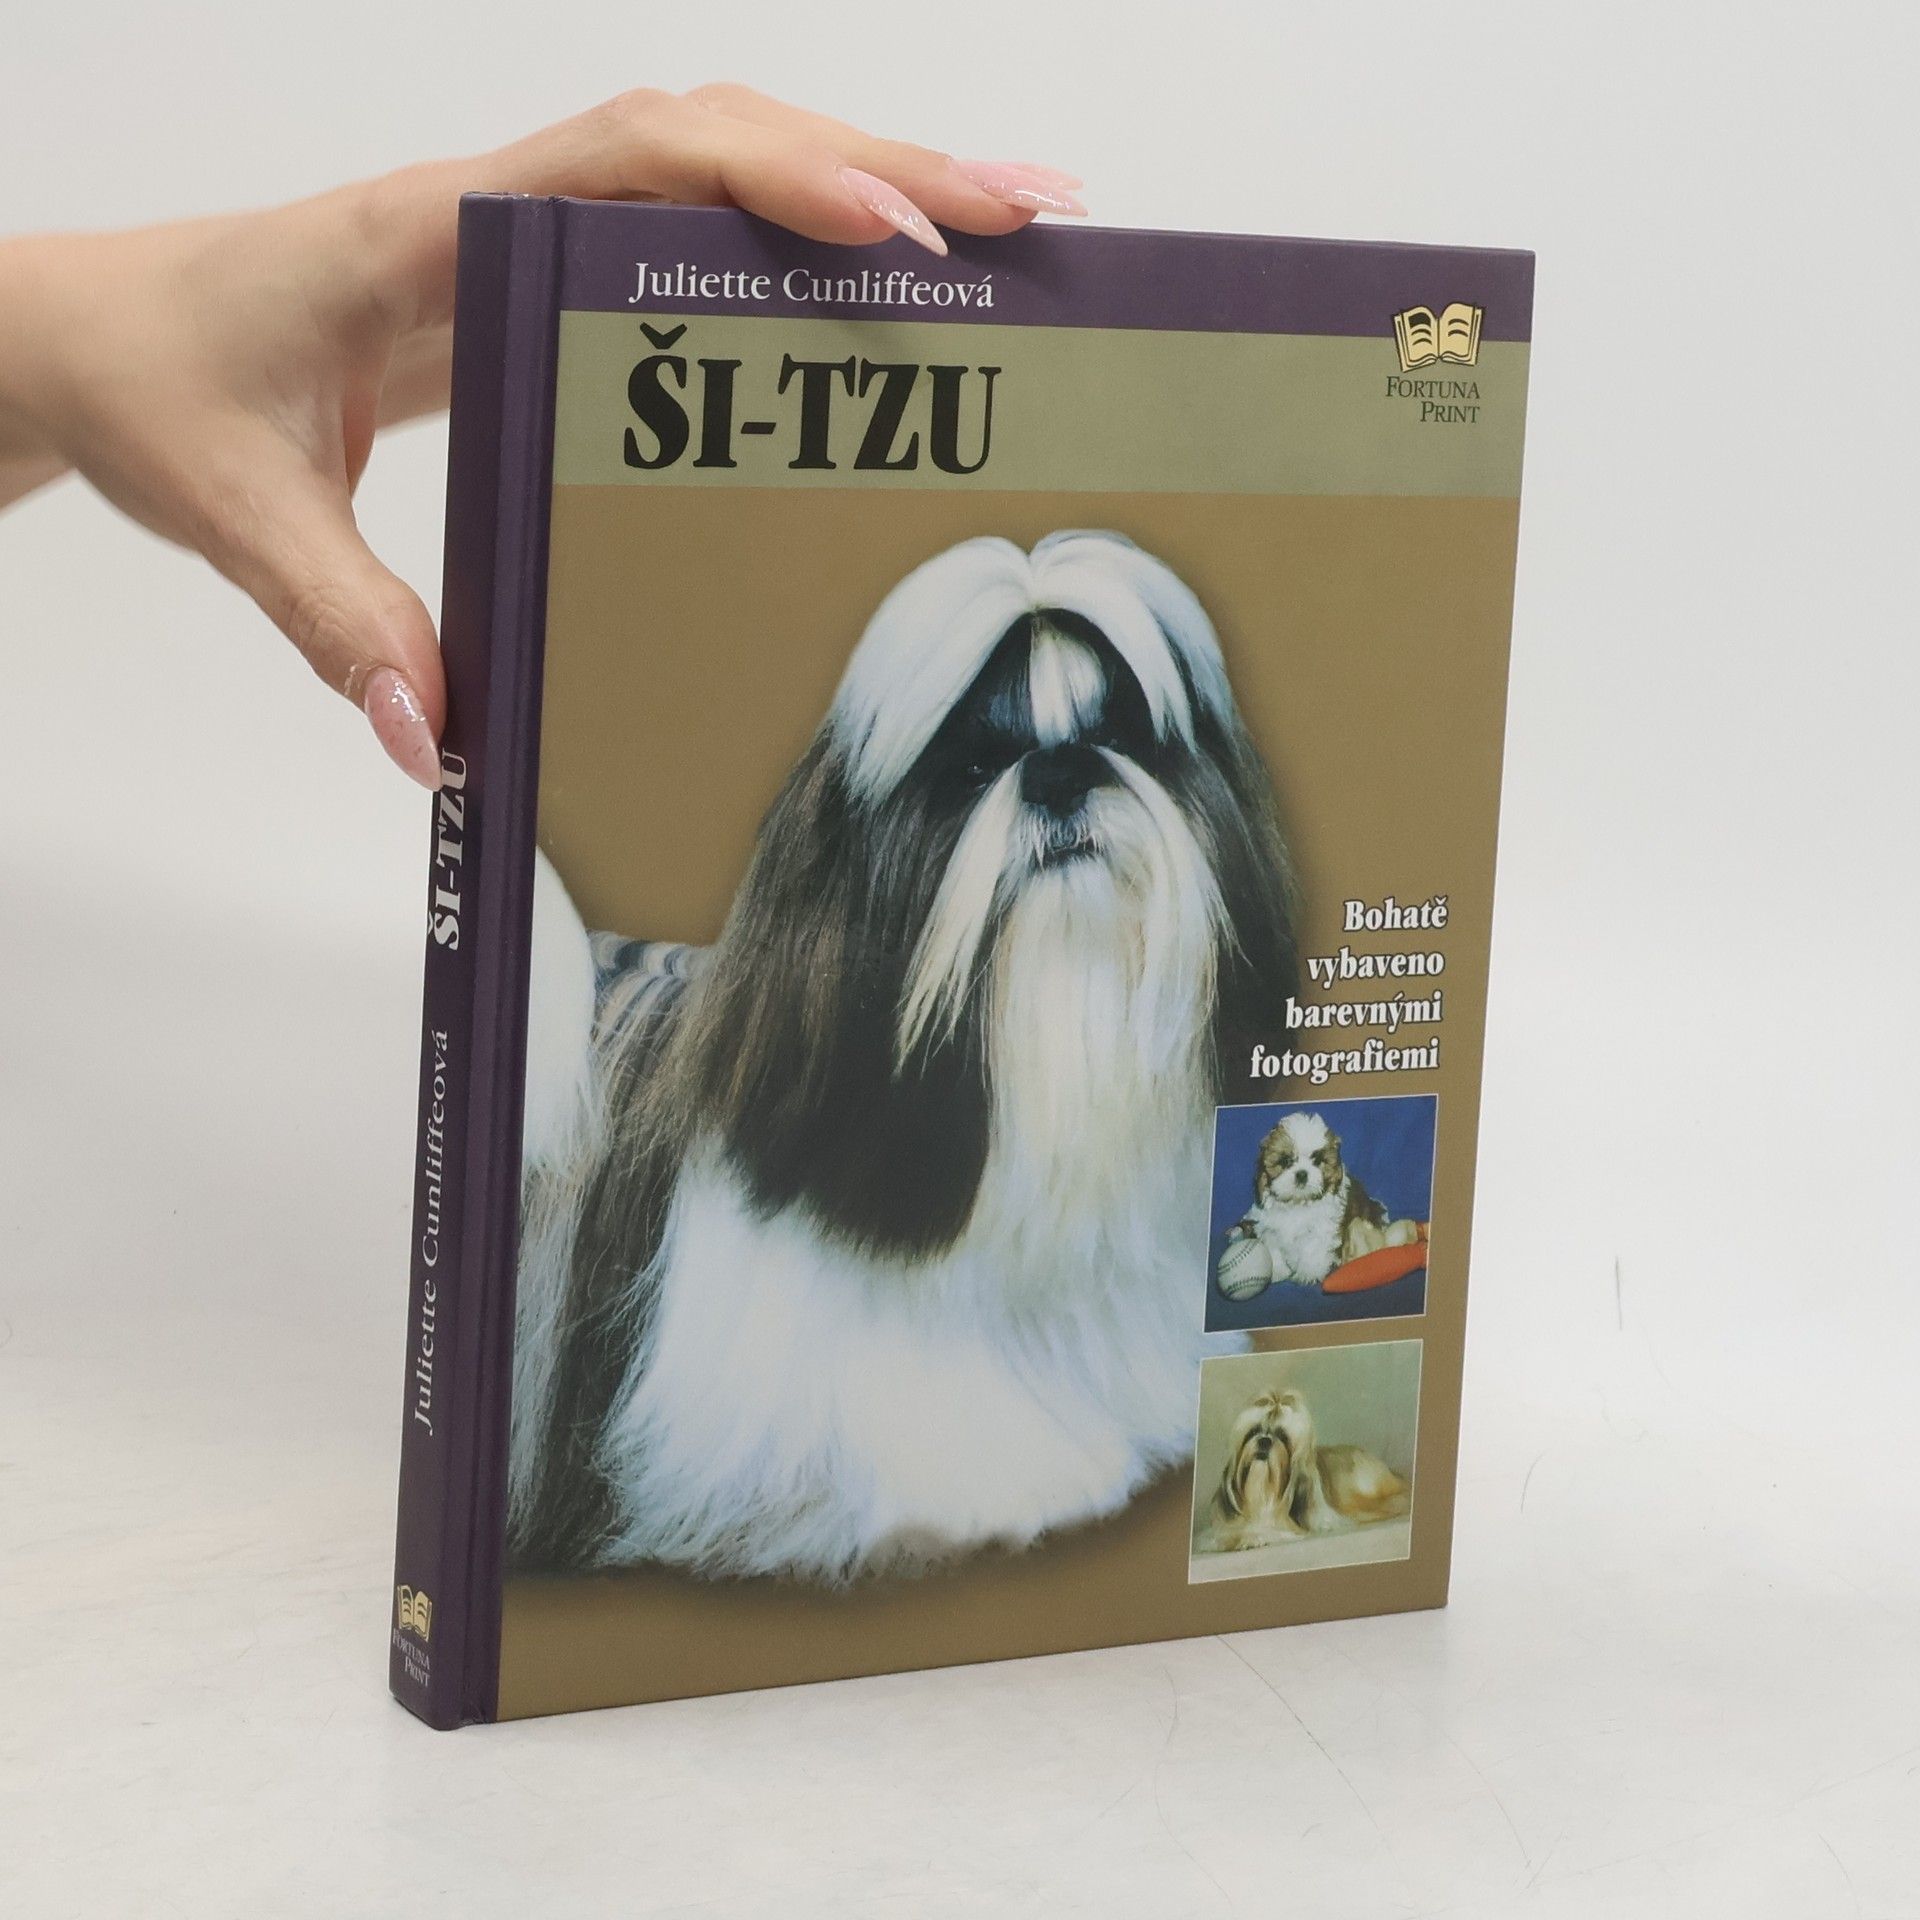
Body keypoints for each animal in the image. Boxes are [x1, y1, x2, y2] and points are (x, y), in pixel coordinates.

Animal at [1206, 1389, 1411, 1550]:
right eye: (1254, 1431)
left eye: (1283, 1437)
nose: (1265, 1440)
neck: (1263, 1492)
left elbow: (1276, 1530)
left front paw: (1253, 1537)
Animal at [1222, 1110, 1420, 1290]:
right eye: (1285, 1161)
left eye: (1317, 1161)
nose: (1302, 1174)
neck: (1297, 1204)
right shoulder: (1267, 1224)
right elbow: (1273, 1247)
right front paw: (1277, 1271)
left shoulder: (1322, 1228)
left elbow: (1313, 1249)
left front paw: (1308, 1273)